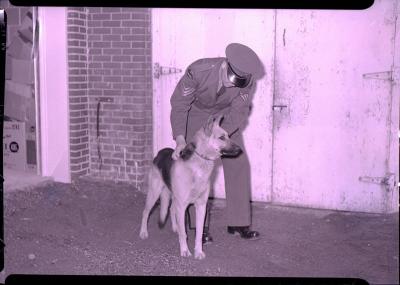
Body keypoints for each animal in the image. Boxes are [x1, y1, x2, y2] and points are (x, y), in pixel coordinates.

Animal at [140, 114, 241, 258]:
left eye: (228, 135)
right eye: (222, 137)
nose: (240, 150)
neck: (200, 163)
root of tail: (160, 152)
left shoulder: (201, 206)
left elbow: (198, 233)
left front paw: (198, 251)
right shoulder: (182, 206)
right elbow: (184, 233)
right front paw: (184, 250)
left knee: (171, 209)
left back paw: (175, 228)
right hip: (154, 194)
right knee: (145, 212)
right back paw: (143, 232)